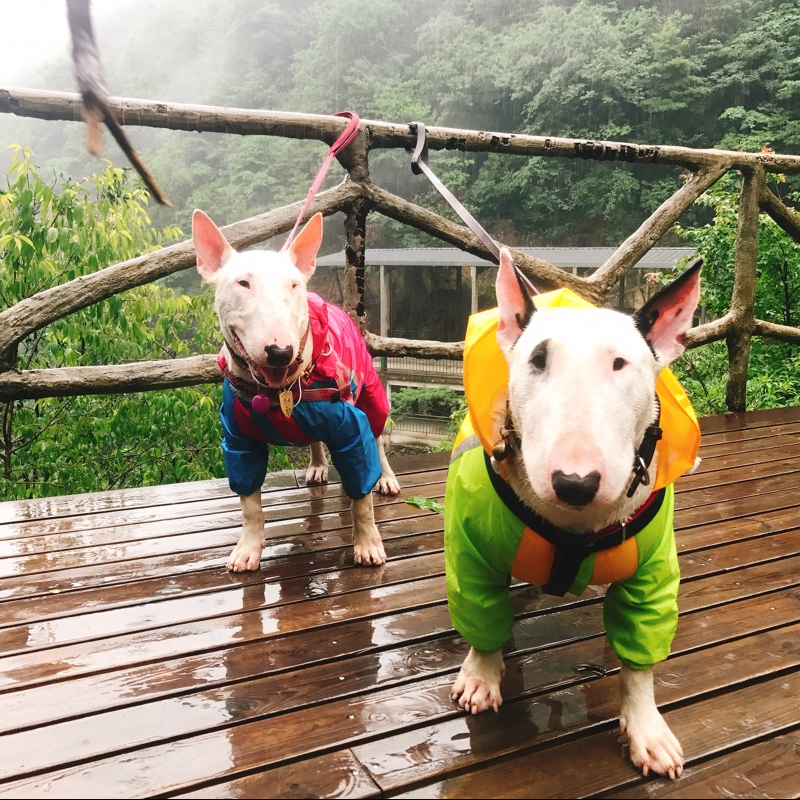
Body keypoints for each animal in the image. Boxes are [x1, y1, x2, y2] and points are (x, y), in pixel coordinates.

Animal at [194, 209, 400, 572]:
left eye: (293, 285)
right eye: (243, 283)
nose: (280, 352)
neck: (277, 392)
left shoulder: (349, 424)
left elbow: (361, 494)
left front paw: (367, 544)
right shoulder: (238, 437)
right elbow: (248, 500)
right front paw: (248, 548)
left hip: (371, 396)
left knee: (377, 438)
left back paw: (386, 478)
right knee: (314, 439)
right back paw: (317, 465)